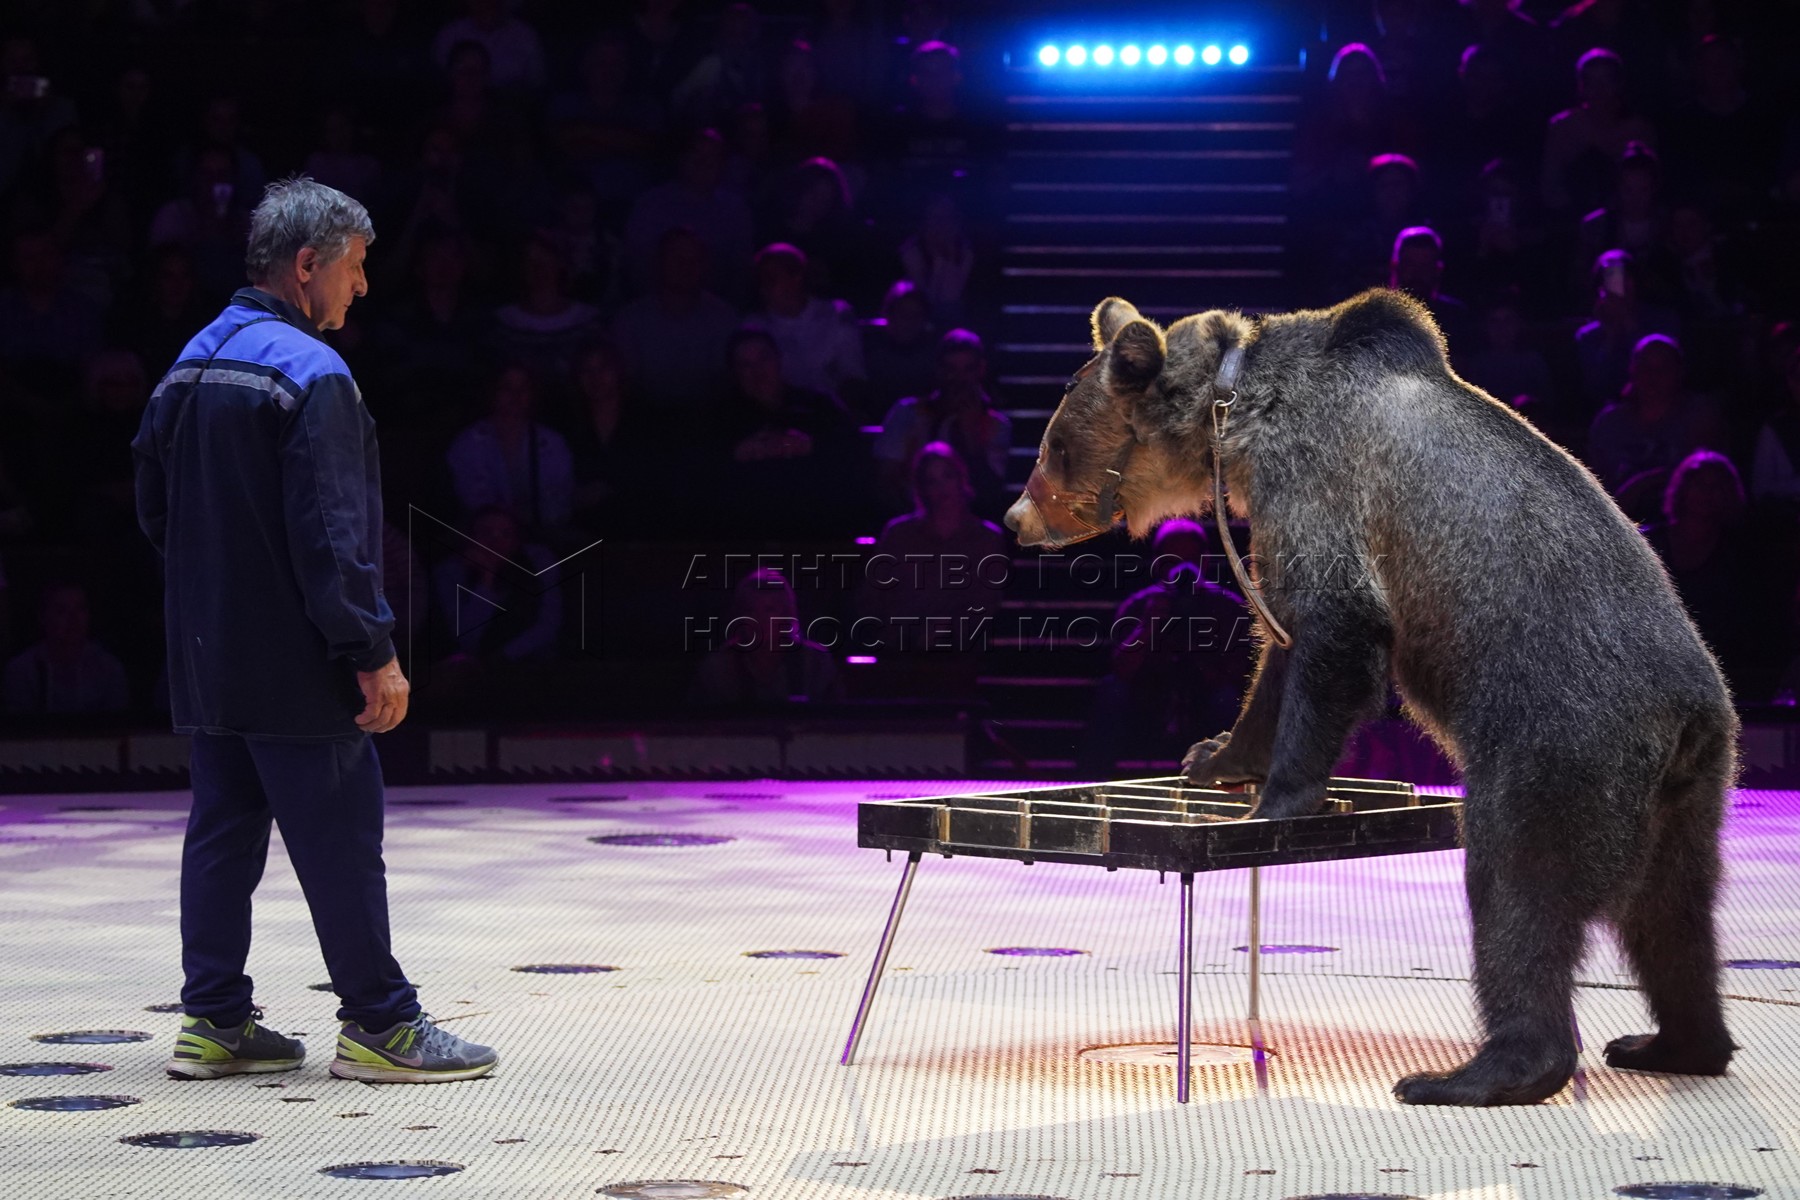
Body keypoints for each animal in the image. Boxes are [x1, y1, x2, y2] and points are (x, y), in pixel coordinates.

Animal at [1008, 287, 1735, 1108]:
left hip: (1563, 738)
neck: (1234, 413)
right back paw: (1675, 1041)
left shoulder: (1316, 479)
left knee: (1520, 886)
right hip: (1690, 795)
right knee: (1673, 919)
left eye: (1054, 445)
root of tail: (1684, 721)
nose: (1015, 518)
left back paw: (1481, 1070)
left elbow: (1332, 625)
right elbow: (1280, 647)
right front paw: (1214, 752)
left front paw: (1276, 798)